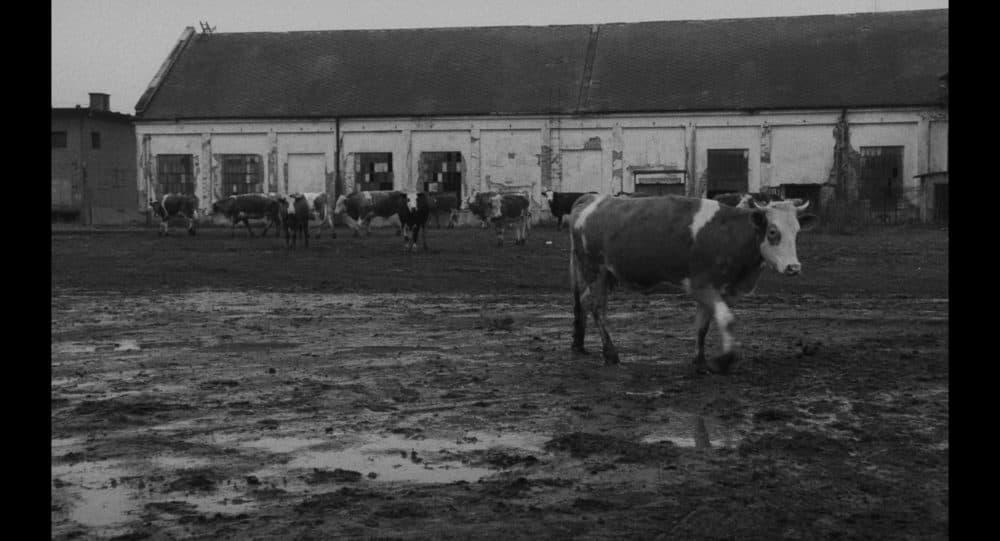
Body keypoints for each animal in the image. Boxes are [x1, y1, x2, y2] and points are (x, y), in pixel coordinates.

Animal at [568, 192, 816, 374]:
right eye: (773, 232)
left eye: (797, 232)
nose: (794, 267)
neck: (727, 232)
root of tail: (592, 199)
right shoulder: (701, 285)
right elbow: (727, 320)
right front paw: (724, 360)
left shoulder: (717, 290)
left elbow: (703, 326)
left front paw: (700, 360)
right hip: (595, 270)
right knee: (598, 309)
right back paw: (610, 354)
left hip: (606, 275)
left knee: (585, 302)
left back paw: (579, 344)